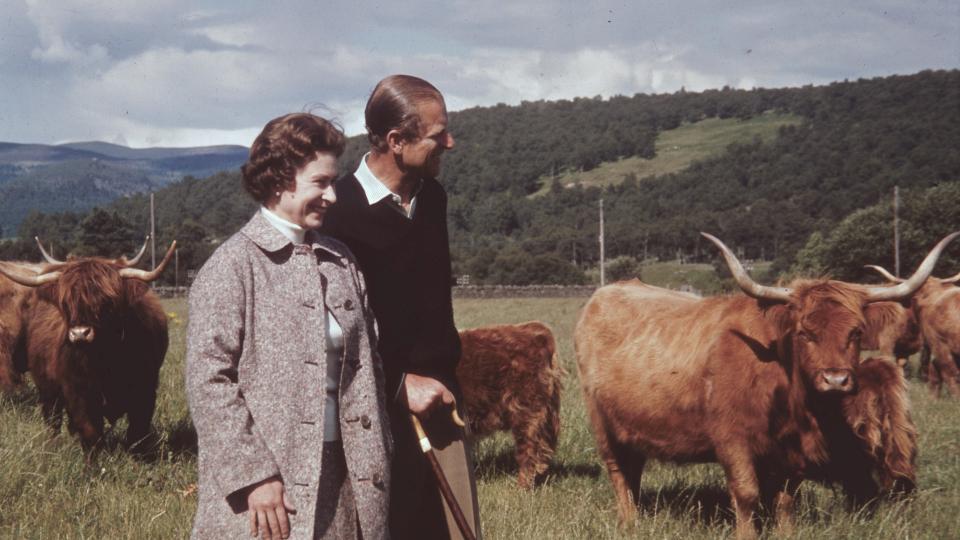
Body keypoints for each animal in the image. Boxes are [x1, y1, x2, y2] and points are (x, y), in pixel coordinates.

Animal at [0, 240, 174, 448]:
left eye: (108, 302)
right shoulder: (79, 393)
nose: (80, 334)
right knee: (52, 418)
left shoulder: (145, 390)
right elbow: (90, 431)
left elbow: (137, 433)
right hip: (46, 387)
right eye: (65, 303)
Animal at [572, 233, 948, 540]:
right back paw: (629, 521)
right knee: (619, 471)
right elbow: (747, 492)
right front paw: (747, 534)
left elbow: (785, 498)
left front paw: (786, 533)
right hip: (602, 423)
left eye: (856, 332)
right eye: (804, 332)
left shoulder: (792, 452)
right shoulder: (732, 439)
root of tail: (609, 290)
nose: (836, 380)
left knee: (633, 469)